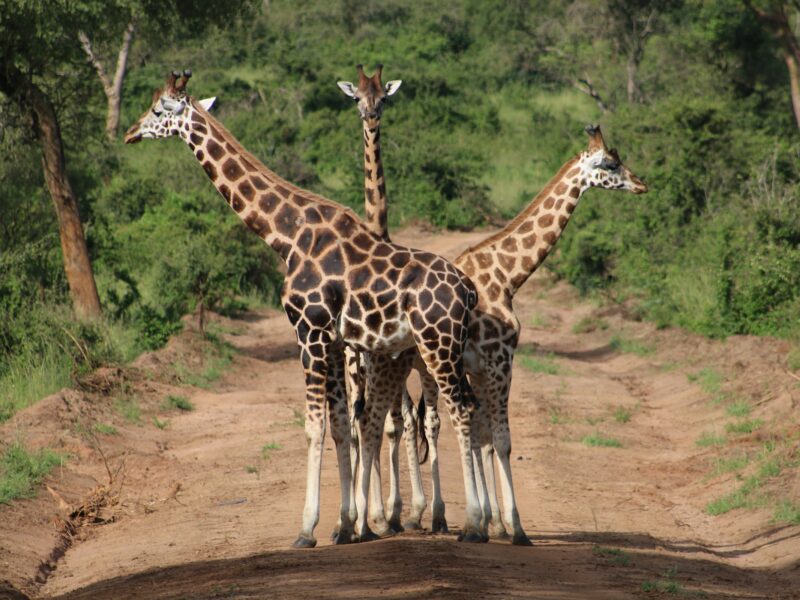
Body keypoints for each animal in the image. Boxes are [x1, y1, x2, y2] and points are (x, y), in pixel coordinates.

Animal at [124, 70, 487, 547]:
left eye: (158, 110)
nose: (129, 133)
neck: (285, 235)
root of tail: (468, 290)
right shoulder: (333, 339)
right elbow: (341, 423)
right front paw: (347, 525)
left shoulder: (308, 331)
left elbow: (315, 425)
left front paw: (309, 527)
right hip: (445, 349)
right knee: (464, 409)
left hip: (436, 346)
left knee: (458, 411)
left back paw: (475, 524)